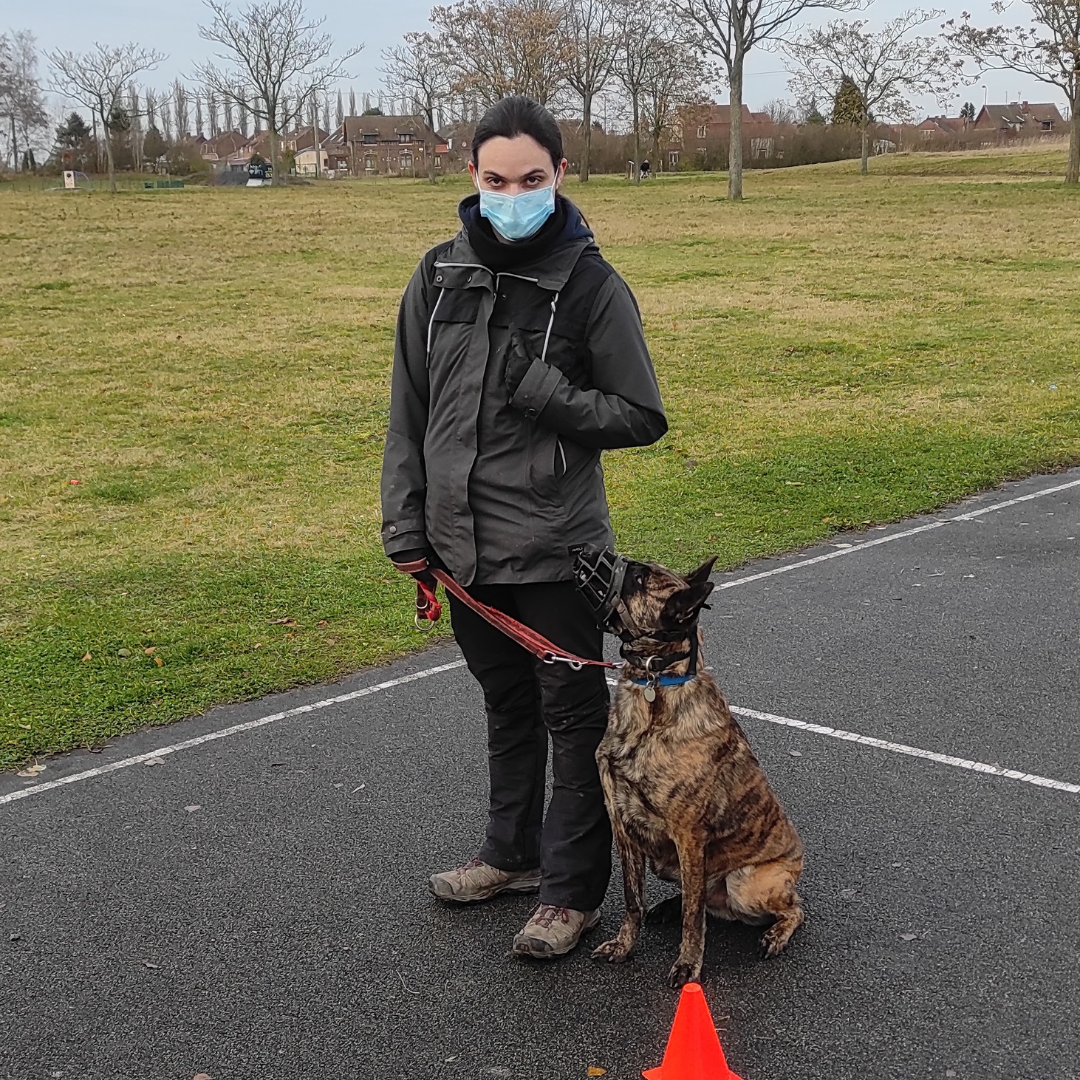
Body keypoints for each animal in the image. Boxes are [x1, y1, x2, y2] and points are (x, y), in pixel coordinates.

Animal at [587, 557, 807, 989]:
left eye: (638, 577)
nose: (577, 553)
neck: (655, 690)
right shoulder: (622, 827)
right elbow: (633, 900)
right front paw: (625, 945)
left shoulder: (688, 835)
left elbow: (694, 917)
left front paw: (688, 965)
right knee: (702, 898)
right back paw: (668, 907)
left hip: (746, 883)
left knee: (792, 908)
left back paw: (776, 934)